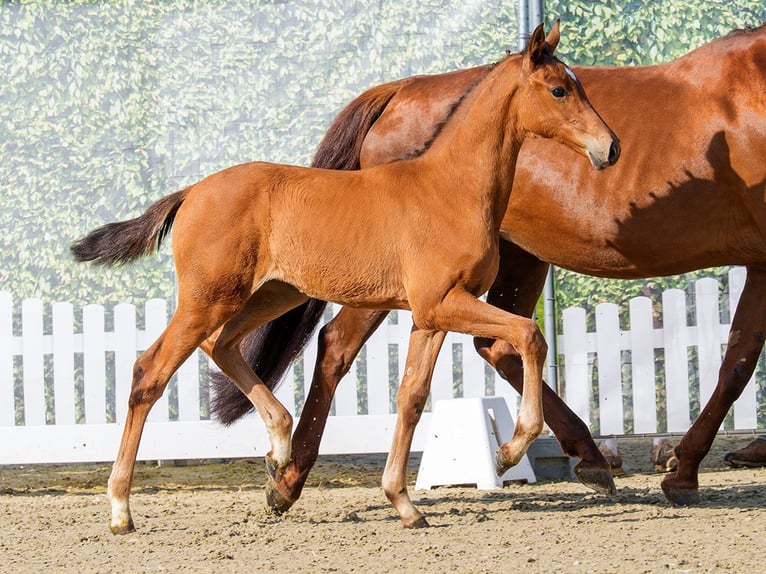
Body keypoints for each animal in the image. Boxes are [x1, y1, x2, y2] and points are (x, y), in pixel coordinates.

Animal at [71, 22, 619, 532]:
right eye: (559, 89)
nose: (611, 148)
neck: (450, 188)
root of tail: (190, 193)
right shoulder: (445, 302)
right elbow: (529, 335)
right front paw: (508, 451)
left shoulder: (429, 316)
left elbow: (411, 397)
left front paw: (404, 504)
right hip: (209, 299)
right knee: (150, 372)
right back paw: (121, 509)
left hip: (273, 295)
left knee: (221, 345)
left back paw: (278, 448)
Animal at [211, 23, 766, 512]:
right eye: (560, 89)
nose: (611, 148)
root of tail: (398, 90)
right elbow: (737, 365)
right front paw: (682, 471)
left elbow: (738, 357)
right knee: (338, 347)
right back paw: (289, 479)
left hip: (514, 264)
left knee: (492, 347)